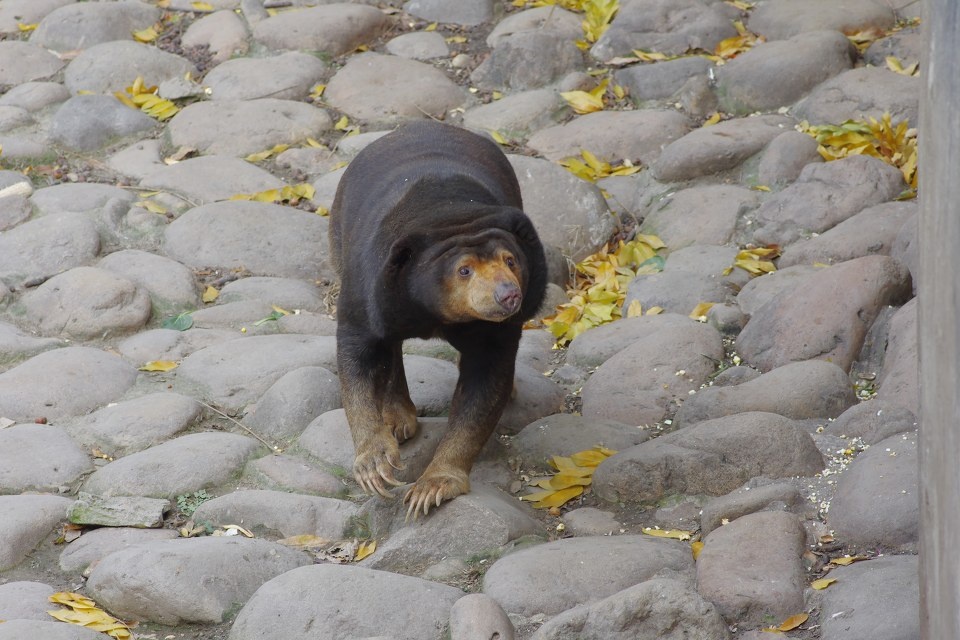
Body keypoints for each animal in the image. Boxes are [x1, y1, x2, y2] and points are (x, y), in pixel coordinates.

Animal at [329, 121, 547, 518]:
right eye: (464, 270)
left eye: (511, 261)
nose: (509, 295)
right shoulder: (369, 283)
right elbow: (358, 355)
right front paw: (375, 466)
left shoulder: (495, 331)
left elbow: (484, 386)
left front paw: (432, 487)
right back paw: (397, 419)